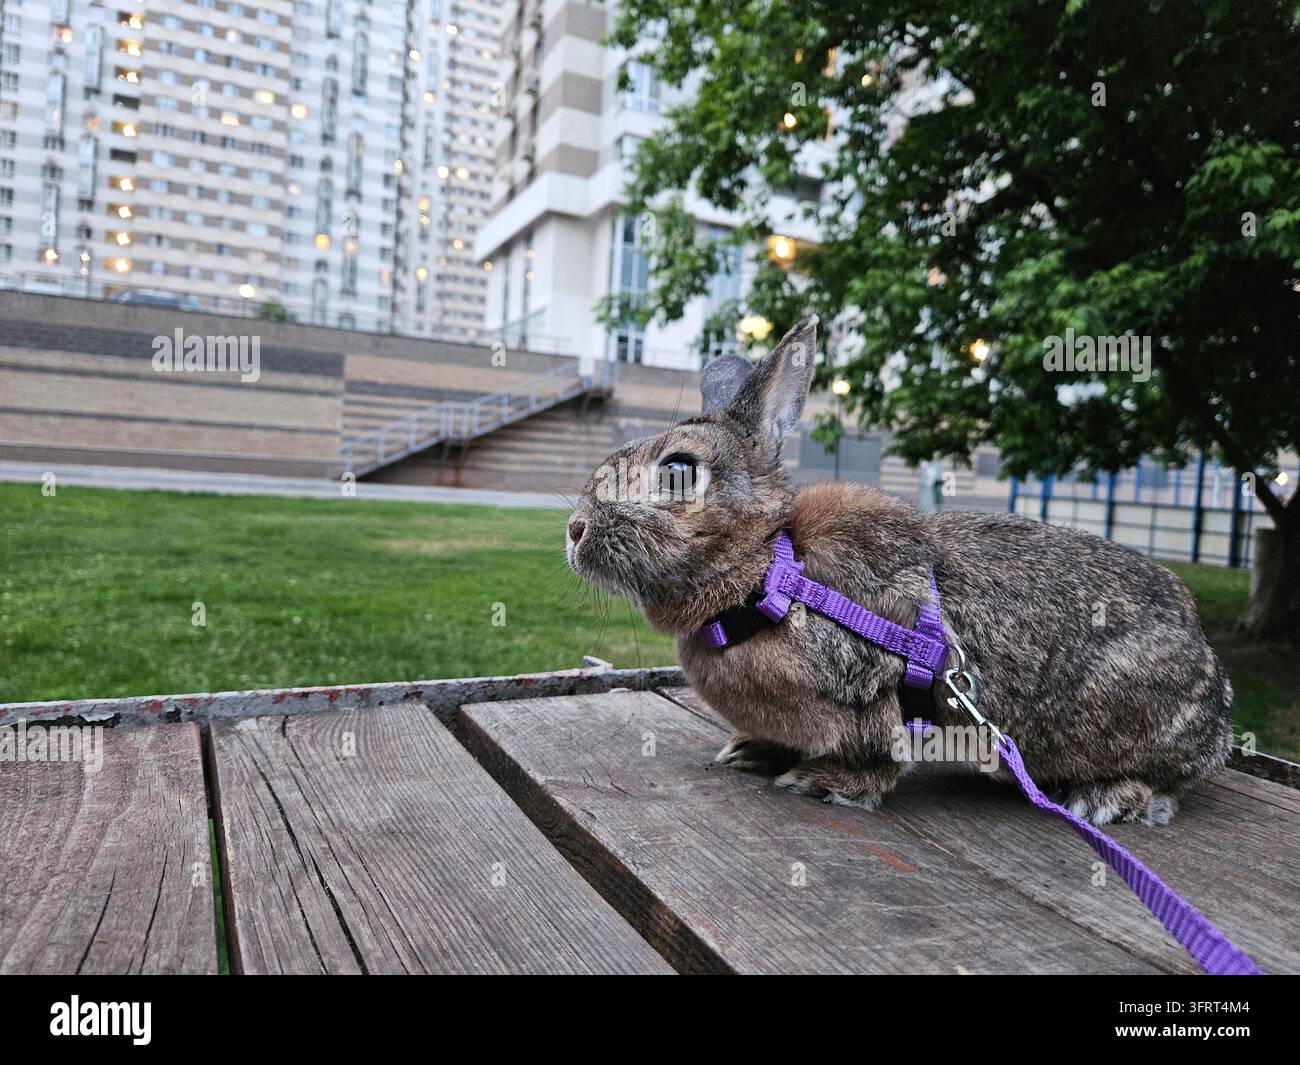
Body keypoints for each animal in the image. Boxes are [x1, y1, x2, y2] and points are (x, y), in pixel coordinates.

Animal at [565, 315, 1234, 825]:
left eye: (678, 472)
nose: (574, 531)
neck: (772, 574)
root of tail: (1217, 704)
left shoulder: (870, 691)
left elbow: (877, 759)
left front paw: (820, 782)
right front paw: (751, 752)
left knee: (1165, 781)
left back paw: (1106, 798)